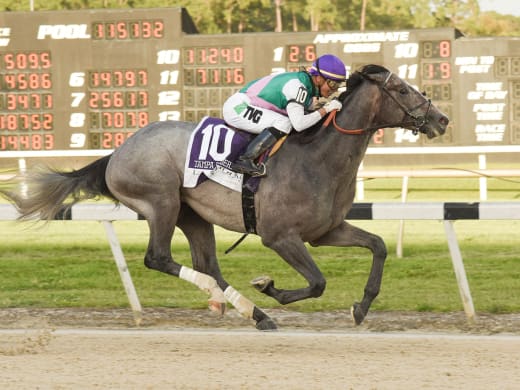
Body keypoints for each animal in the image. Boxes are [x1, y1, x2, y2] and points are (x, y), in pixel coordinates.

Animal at [1, 64, 446, 330]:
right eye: (402, 89)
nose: (440, 119)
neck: (318, 158)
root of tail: (117, 152)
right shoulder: (280, 237)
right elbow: (317, 282)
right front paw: (270, 287)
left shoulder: (325, 231)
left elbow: (379, 245)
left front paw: (362, 306)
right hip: (161, 203)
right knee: (159, 258)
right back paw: (242, 304)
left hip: (194, 215)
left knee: (209, 266)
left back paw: (253, 312)